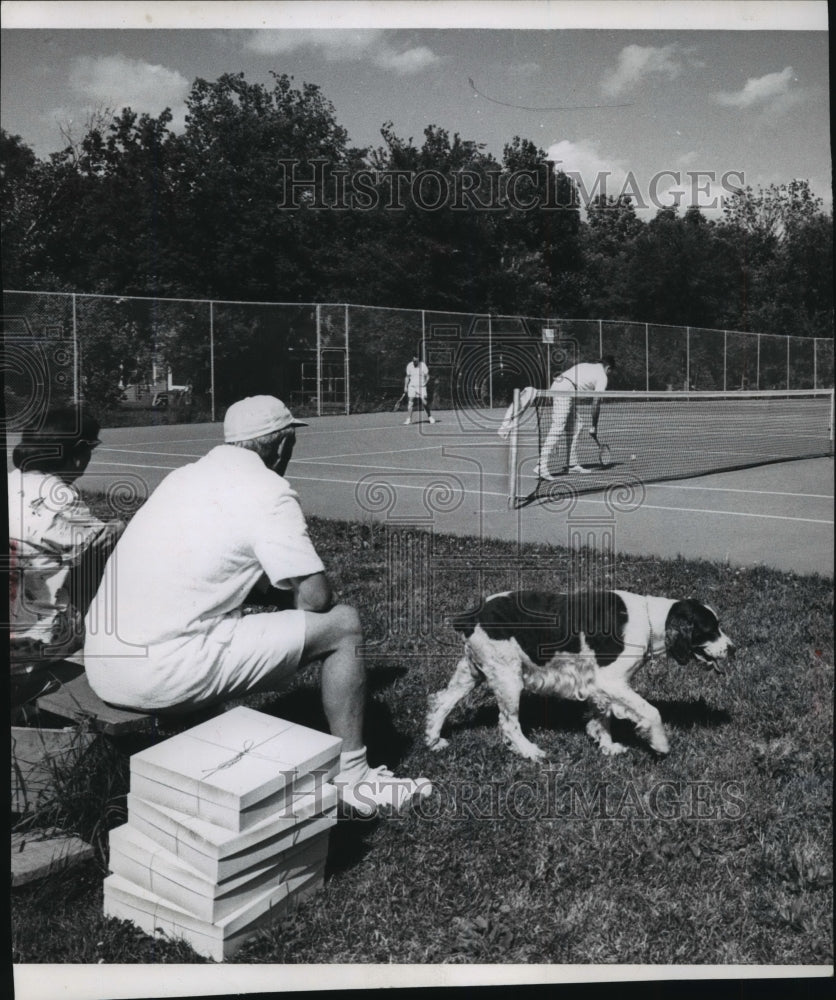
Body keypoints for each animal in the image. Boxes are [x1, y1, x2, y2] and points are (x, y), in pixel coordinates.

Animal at [428, 588, 736, 760]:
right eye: (710, 629)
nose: (733, 648)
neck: (650, 620)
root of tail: (472, 616)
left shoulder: (599, 684)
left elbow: (603, 718)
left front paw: (608, 747)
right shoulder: (612, 681)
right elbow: (652, 711)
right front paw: (659, 744)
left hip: (473, 670)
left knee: (441, 701)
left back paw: (433, 741)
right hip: (507, 677)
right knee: (508, 722)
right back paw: (530, 752)